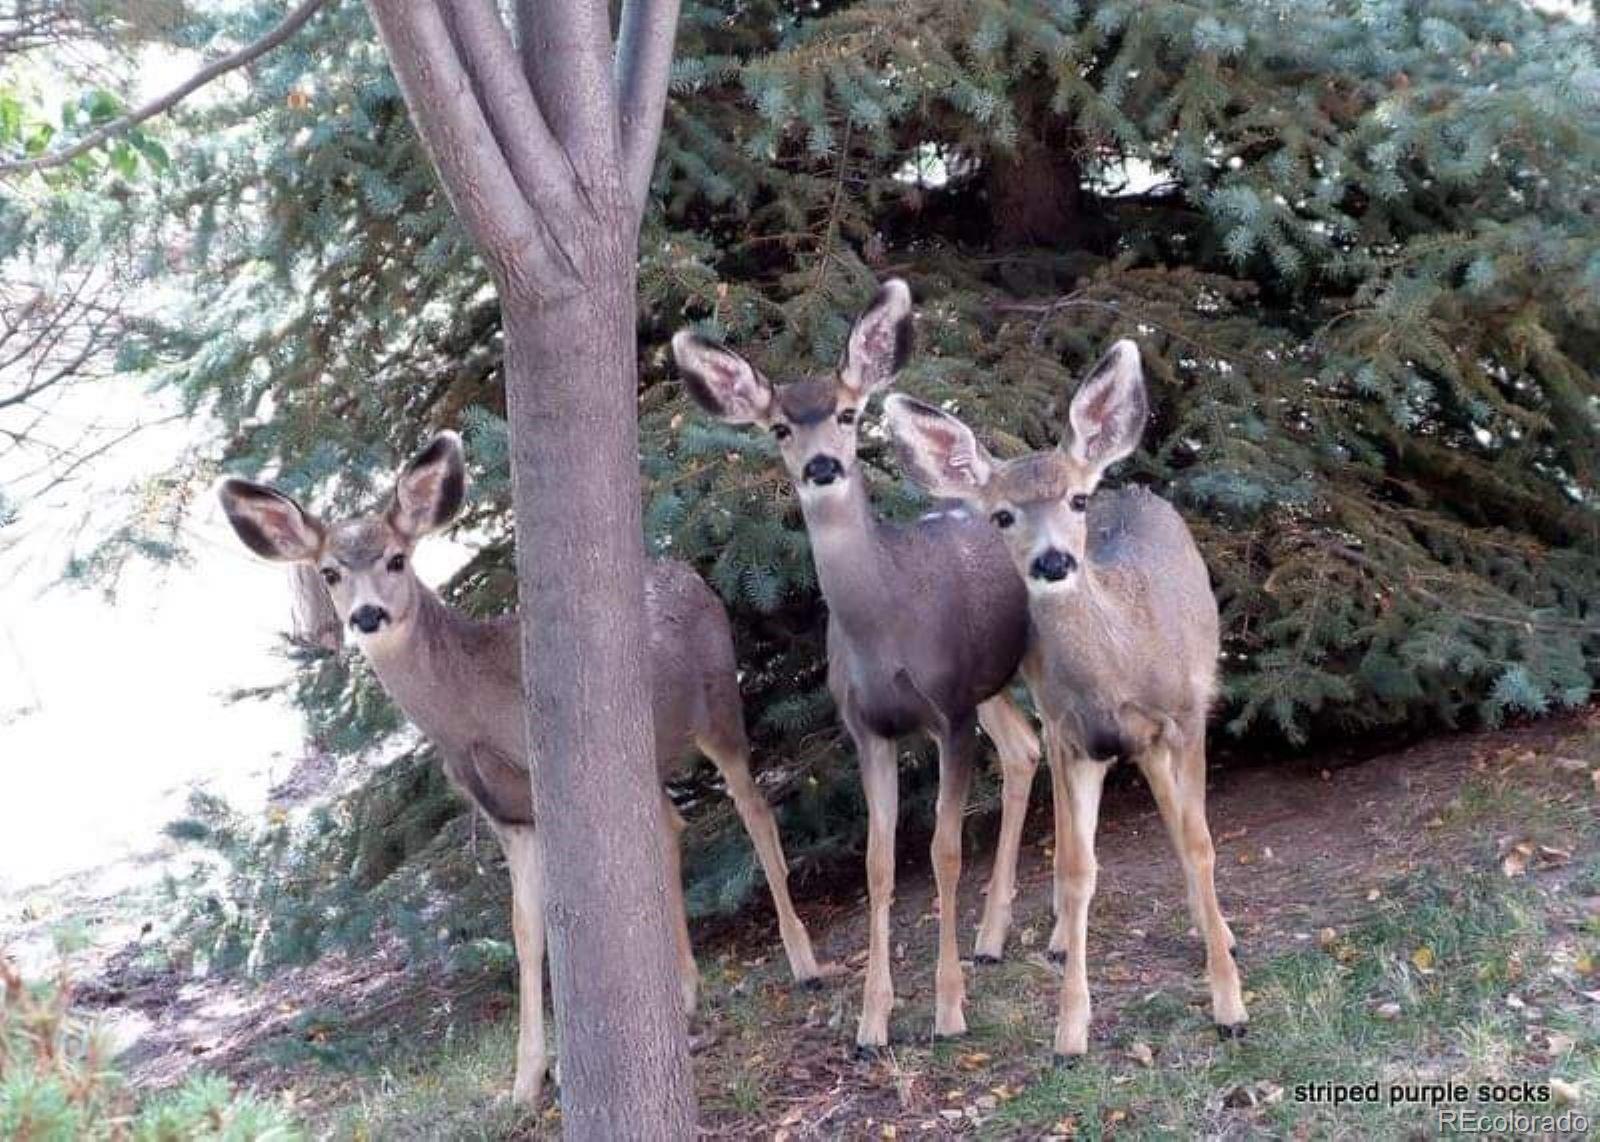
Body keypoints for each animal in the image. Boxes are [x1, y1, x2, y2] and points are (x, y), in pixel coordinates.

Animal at [217, 431, 825, 1100]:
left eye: (397, 560)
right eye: (329, 572)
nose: (367, 615)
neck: (471, 715)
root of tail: (691, 572)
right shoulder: (506, 814)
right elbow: (525, 931)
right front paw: (527, 1077)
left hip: (719, 705)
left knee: (754, 809)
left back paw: (804, 962)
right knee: (671, 828)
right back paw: (687, 991)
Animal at [668, 278, 1043, 1049]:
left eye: (848, 413)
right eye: (780, 427)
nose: (823, 466)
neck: (887, 626)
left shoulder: (949, 713)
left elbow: (944, 851)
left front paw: (948, 1011)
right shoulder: (868, 728)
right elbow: (877, 863)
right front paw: (873, 1021)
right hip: (992, 682)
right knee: (1027, 748)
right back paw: (992, 938)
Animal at [889, 340, 1248, 1055]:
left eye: (1077, 500)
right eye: (1003, 515)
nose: (1053, 561)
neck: (1122, 660)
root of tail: (1133, 485)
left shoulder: (1186, 713)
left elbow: (1199, 839)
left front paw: (1229, 1003)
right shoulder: (1075, 733)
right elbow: (1080, 866)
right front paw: (1070, 1029)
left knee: (1175, 809)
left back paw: (1212, 929)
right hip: (1063, 725)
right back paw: (1047, 938)